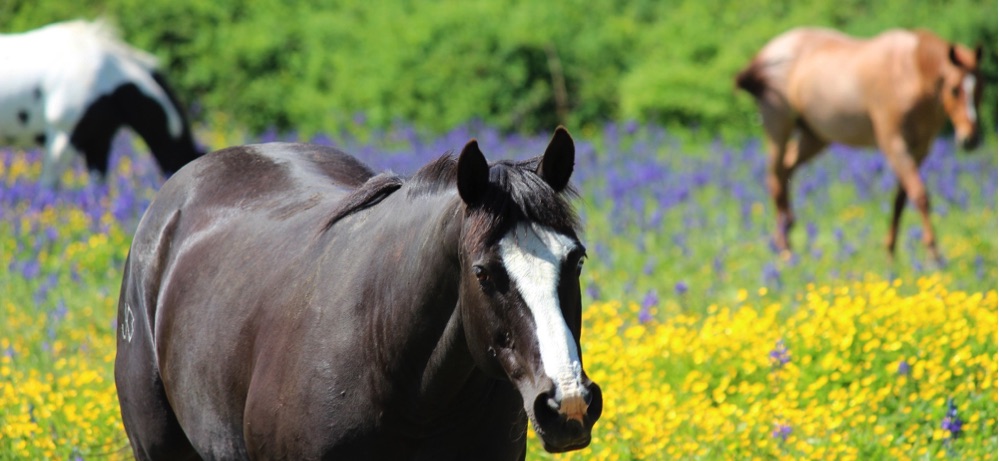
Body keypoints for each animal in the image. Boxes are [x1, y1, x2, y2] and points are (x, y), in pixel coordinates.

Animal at [736, 27, 984, 260]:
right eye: (954, 89)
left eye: (981, 88)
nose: (971, 139)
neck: (910, 73)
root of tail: (769, 50)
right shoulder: (893, 142)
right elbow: (919, 195)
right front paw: (933, 253)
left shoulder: (921, 147)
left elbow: (901, 198)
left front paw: (890, 252)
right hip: (778, 124)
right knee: (775, 177)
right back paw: (784, 246)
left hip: (814, 135)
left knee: (786, 169)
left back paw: (787, 231)